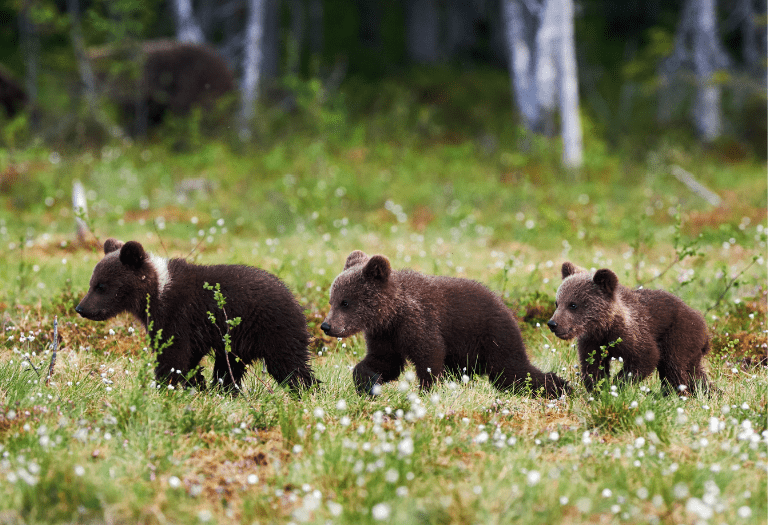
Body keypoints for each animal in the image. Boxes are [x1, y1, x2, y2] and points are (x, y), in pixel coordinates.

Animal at [76, 238, 318, 392]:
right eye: (92, 283)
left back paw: (307, 389)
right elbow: (189, 359)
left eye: (101, 286)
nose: (81, 308)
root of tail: (296, 300)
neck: (156, 291)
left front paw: (165, 386)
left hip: (272, 328)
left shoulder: (177, 314)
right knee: (230, 368)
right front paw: (196, 384)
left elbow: (172, 355)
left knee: (289, 364)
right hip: (237, 342)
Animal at [320, 250, 569, 398]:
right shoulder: (384, 335)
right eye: (332, 300)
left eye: (345, 302)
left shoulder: (419, 322)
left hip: (492, 338)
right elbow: (384, 361)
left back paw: (562, 386)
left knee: (514, 373)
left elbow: (429, 355)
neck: (393, 314)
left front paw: (427, 390)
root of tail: (508, 310)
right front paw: (366, 384)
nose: (326, 326)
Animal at [547, 261, 710, 395]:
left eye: (573, 305)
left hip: (679, 335)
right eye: (557, 303)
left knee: (675, 367)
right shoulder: (592, 341)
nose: (553, 324)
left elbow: (645, 358)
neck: (605, 327)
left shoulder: (634, 334)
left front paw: (616, 385)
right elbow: (592, 365)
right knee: (695, 372)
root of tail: (703, 324)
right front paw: (598, 389)